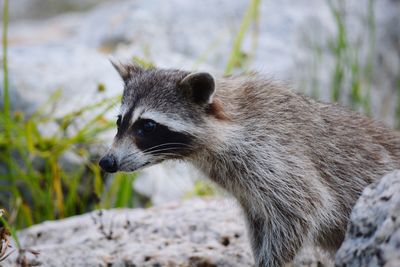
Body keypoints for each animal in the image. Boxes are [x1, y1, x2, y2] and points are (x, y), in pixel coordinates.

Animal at [99, 61, 400, 267]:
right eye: (119, 121)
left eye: (148, 126)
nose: (106, 161)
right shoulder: (249, 191)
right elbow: (260, 222)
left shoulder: (274, 154)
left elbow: (303, 208)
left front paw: (272, 261)